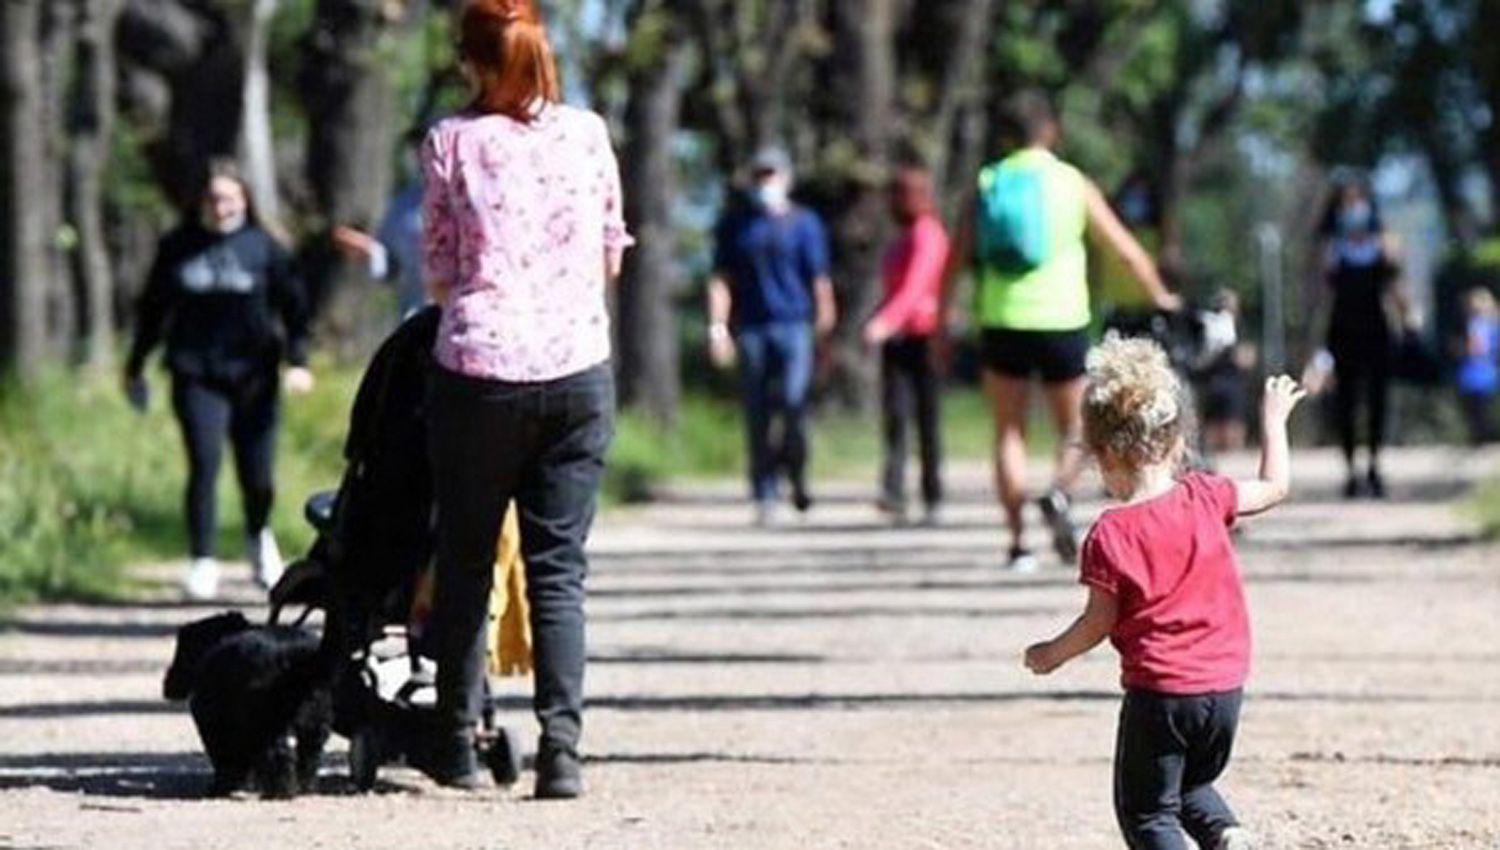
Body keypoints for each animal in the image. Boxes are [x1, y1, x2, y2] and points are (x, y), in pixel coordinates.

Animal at [167, 611, 337, 797]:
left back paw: (279, 791)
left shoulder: (212, 723)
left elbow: (223, 757)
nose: (168, 685)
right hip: (317, 718)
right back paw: (305, 788)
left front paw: (223, 786)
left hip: (267, 722)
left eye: (181, 651)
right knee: (310, 753)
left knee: (278, 753)